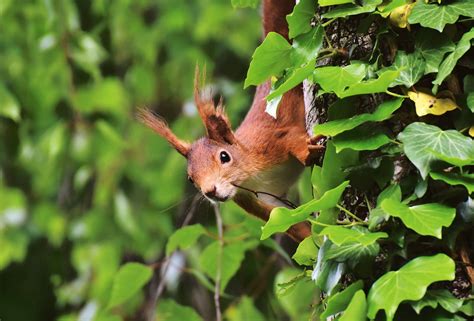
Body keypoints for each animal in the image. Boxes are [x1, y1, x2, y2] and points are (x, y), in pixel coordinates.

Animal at [137, 0, 322, 240]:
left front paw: (307, 150)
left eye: (224, 156)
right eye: (190, 179)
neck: (250, 177)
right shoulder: (257, 200)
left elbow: (289, 136)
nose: (210, 191)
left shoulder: (270, 142)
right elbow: (288, 221)